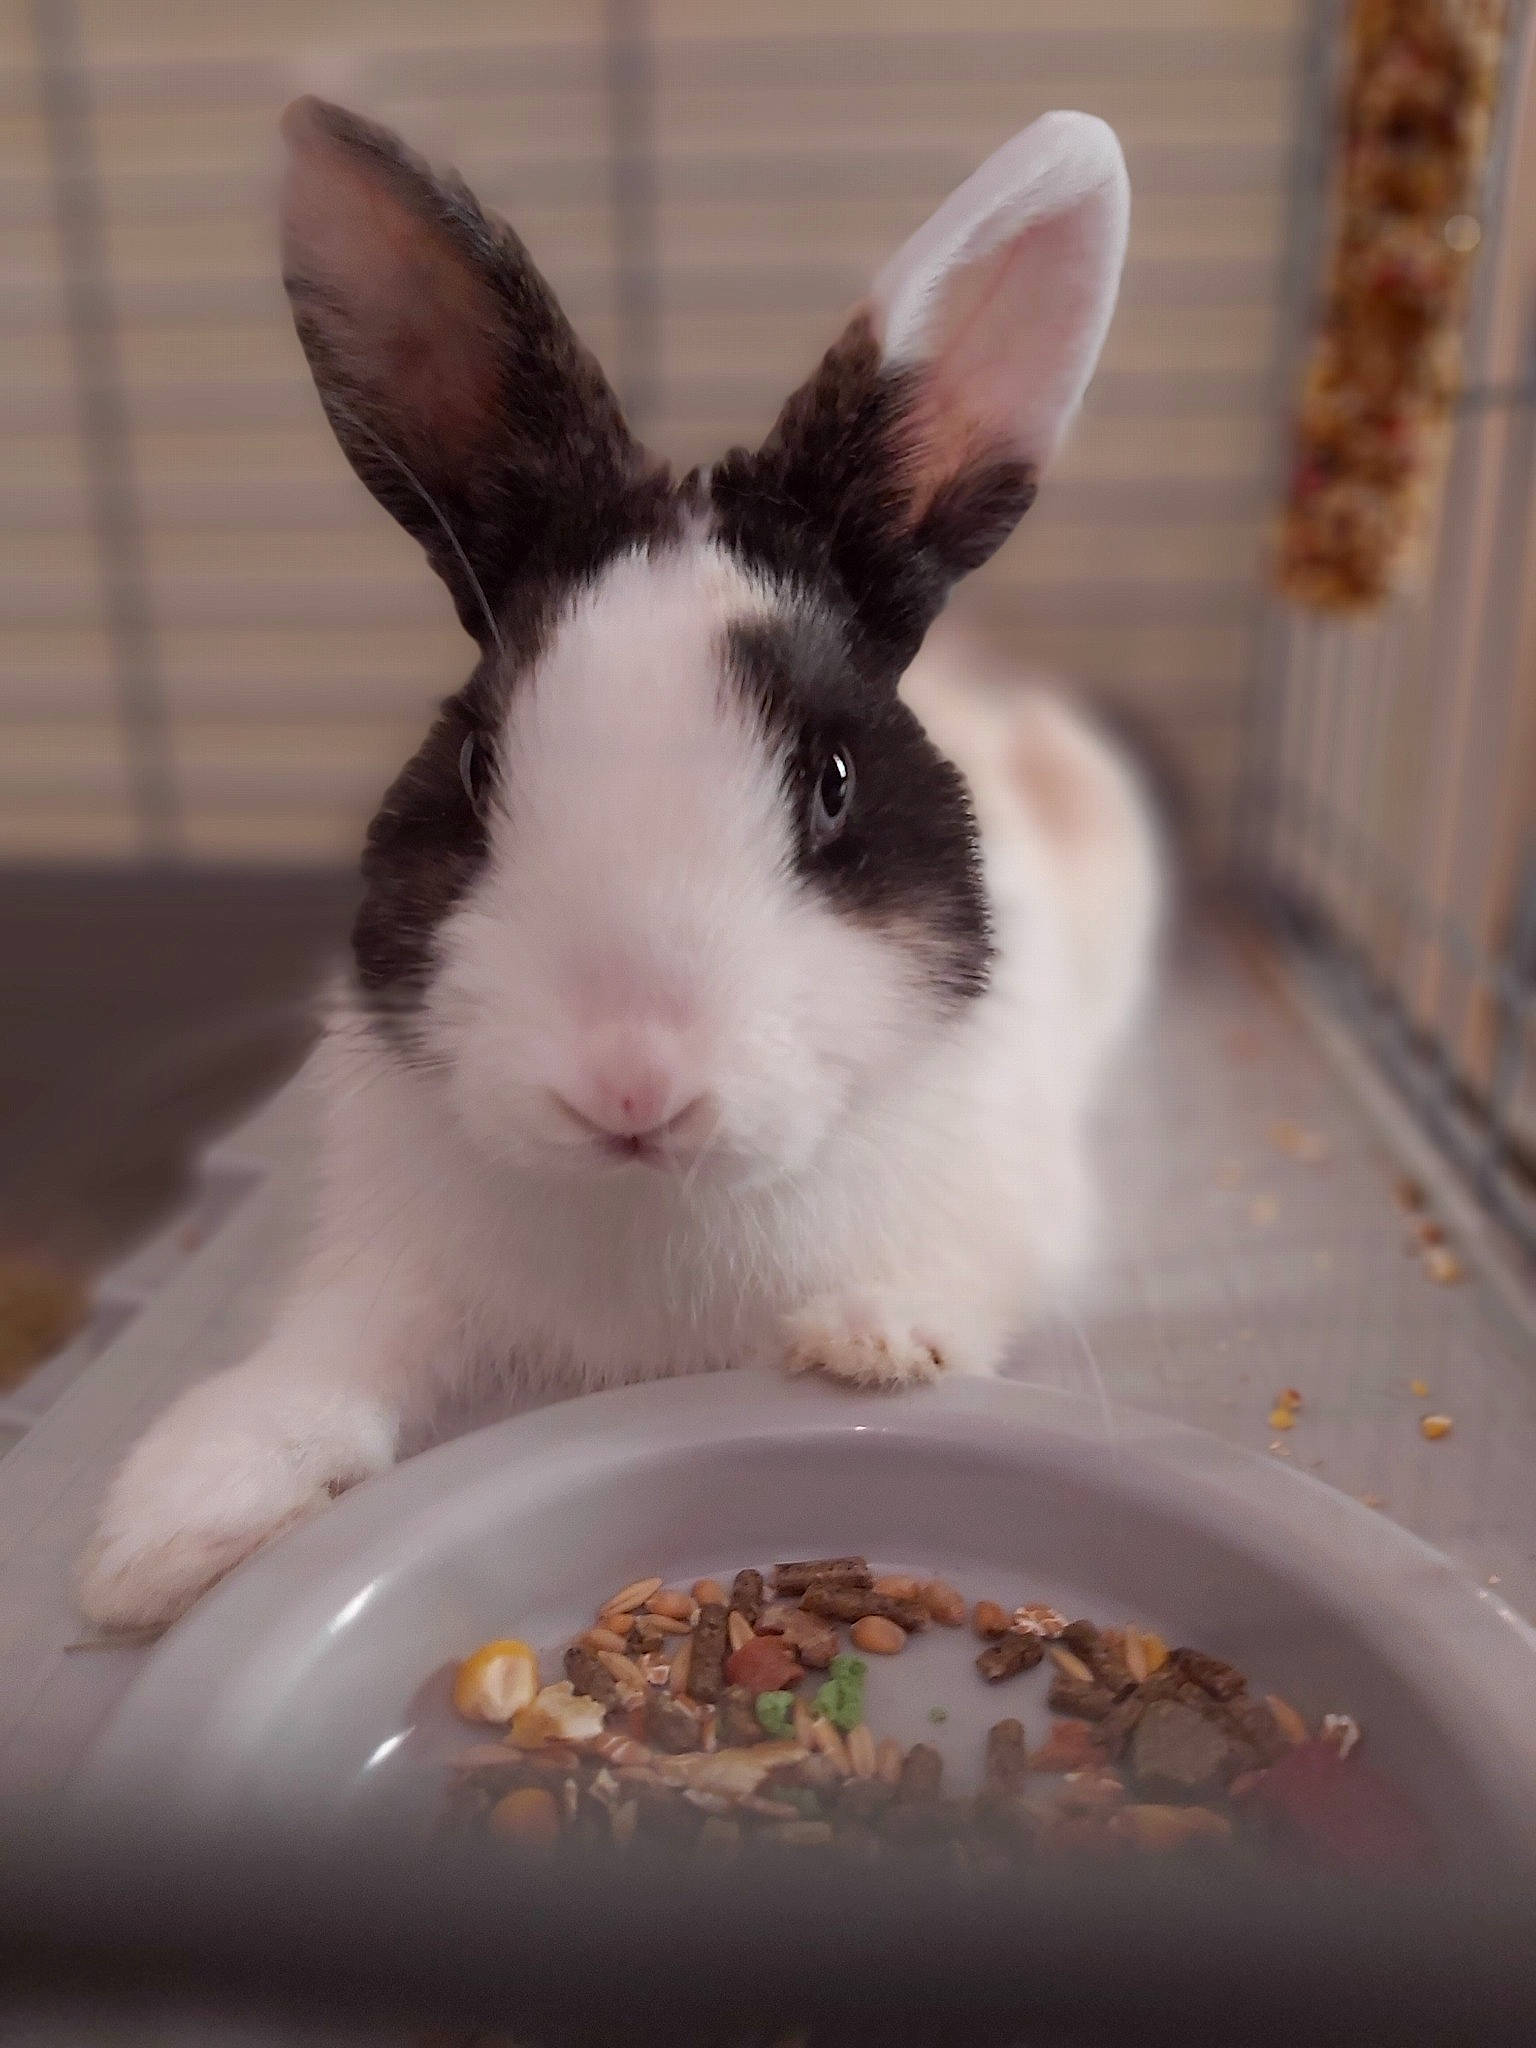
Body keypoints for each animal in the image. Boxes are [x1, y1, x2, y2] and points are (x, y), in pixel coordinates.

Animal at [77, 99, 1160, 1631]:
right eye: (476, 764)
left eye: (831, 782)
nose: (630, 1085)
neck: (655, 1206)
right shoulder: (385, 1261)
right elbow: (330, 1359)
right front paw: (166, 1529)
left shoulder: (1018, 1207)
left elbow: (960, 1282)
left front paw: (872, 1341)